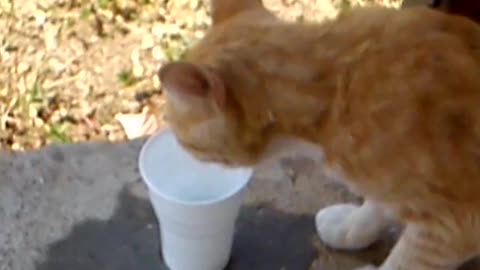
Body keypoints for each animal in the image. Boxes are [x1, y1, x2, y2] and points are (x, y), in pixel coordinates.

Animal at [158, 1, 480, 268]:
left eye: (182, 139)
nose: (178, 149)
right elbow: (379, 201)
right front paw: (354, 225)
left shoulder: (458, 226)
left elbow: (404, 261)